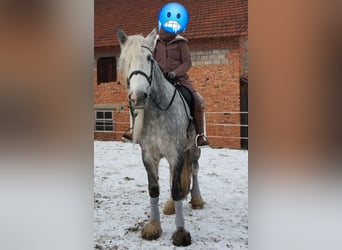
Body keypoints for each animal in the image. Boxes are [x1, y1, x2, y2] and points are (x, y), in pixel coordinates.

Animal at [117, 28, 204, 245]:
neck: (158, 112)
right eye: (125, 60)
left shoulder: (176, 154)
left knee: (194, 170)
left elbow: (176, 188)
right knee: (175, 177)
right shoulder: (149, 156)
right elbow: (154, 189)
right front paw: (153, 227)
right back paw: (171, 205)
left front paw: (181, 233)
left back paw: (197, 200)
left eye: (149, 58)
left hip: (194, 148)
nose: (138, 96)